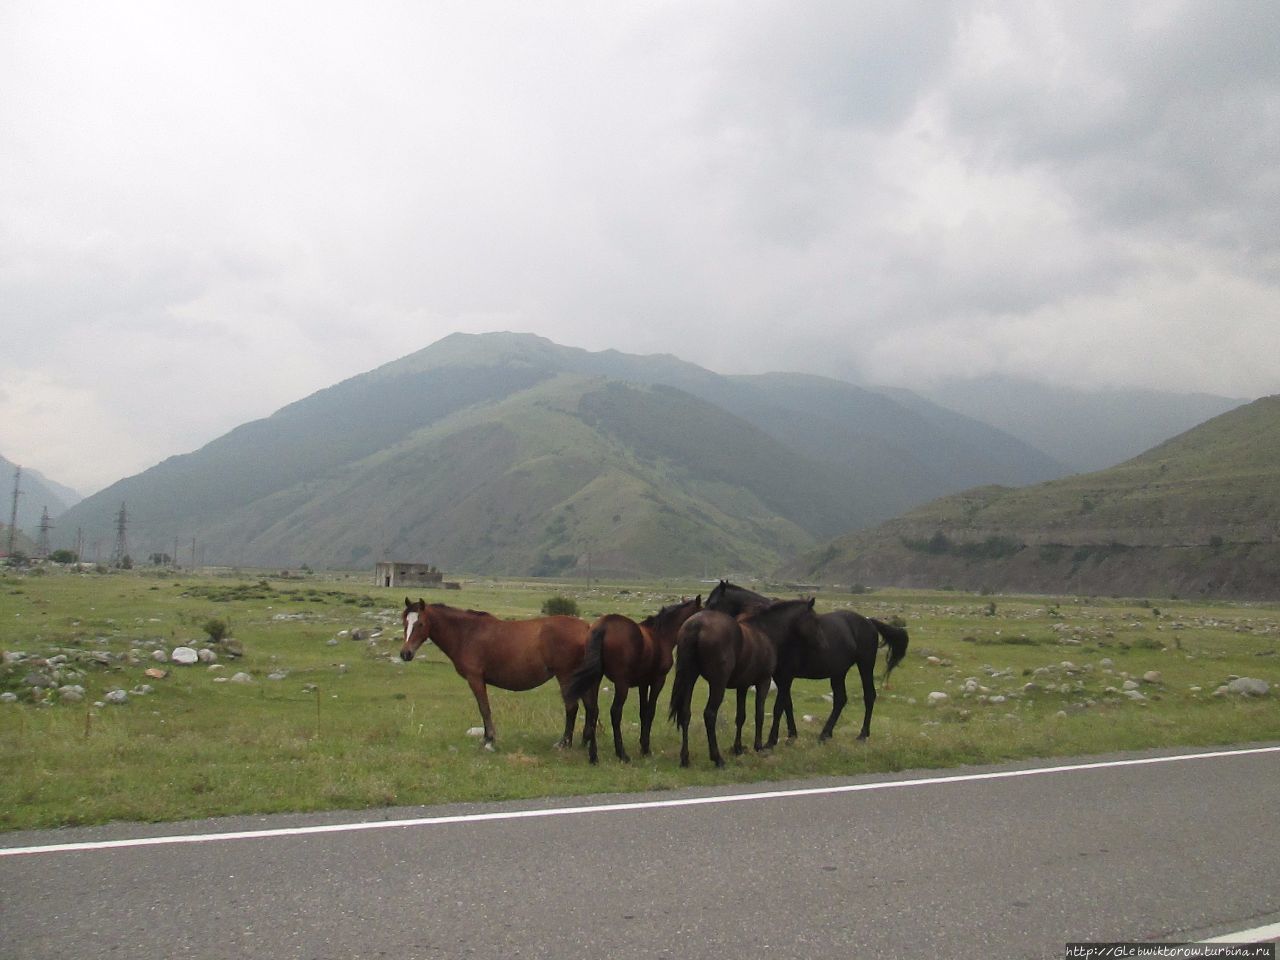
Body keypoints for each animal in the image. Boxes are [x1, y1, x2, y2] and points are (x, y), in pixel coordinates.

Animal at [396, 601, 596, 752]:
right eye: (405, 623)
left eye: (420, 624)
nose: (405, 653)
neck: (467, 633)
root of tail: (586, 627)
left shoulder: (475, 679)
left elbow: (484, 708)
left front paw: (488, 739)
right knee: (590, 708)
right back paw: (585, 741)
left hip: (566, 677)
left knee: (572, 708)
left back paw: (564, 743)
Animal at [568, 593, 706, 768]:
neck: (660, 636)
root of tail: (603, 627)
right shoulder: (657, 681)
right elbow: (650, 712)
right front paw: (646, 748)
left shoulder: (643, 683)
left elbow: (643, 712)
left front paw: (643, 746)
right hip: (621, 684)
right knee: (615, 712)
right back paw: (622, 754)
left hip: (595, 680)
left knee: (593, 710)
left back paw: (593, 756)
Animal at [665, 599, 824, 773]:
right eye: (814, 620)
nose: (820, 643)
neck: (765, 632)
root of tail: (696, 625)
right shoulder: (763, 682)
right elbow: (759, 714)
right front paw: (759, 746)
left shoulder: (742, 686)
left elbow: (741, 716)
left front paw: (738, 748)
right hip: (717, 683)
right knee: (710, 714)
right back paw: (717, 758)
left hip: (689, 677)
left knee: (685, 714)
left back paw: (685, 759)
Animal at [706, 578, 906, 742]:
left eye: (713, 603)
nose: (702, 620)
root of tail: (869, 622)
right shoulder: (781, 677)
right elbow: (787, 704)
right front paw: (792, 735)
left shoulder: (786, 676)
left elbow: (781, 706)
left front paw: (776, 739)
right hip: (838, 672)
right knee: (840, 699)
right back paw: (825, 734)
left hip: (865, 665)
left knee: (869, 695)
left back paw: (862, 734)